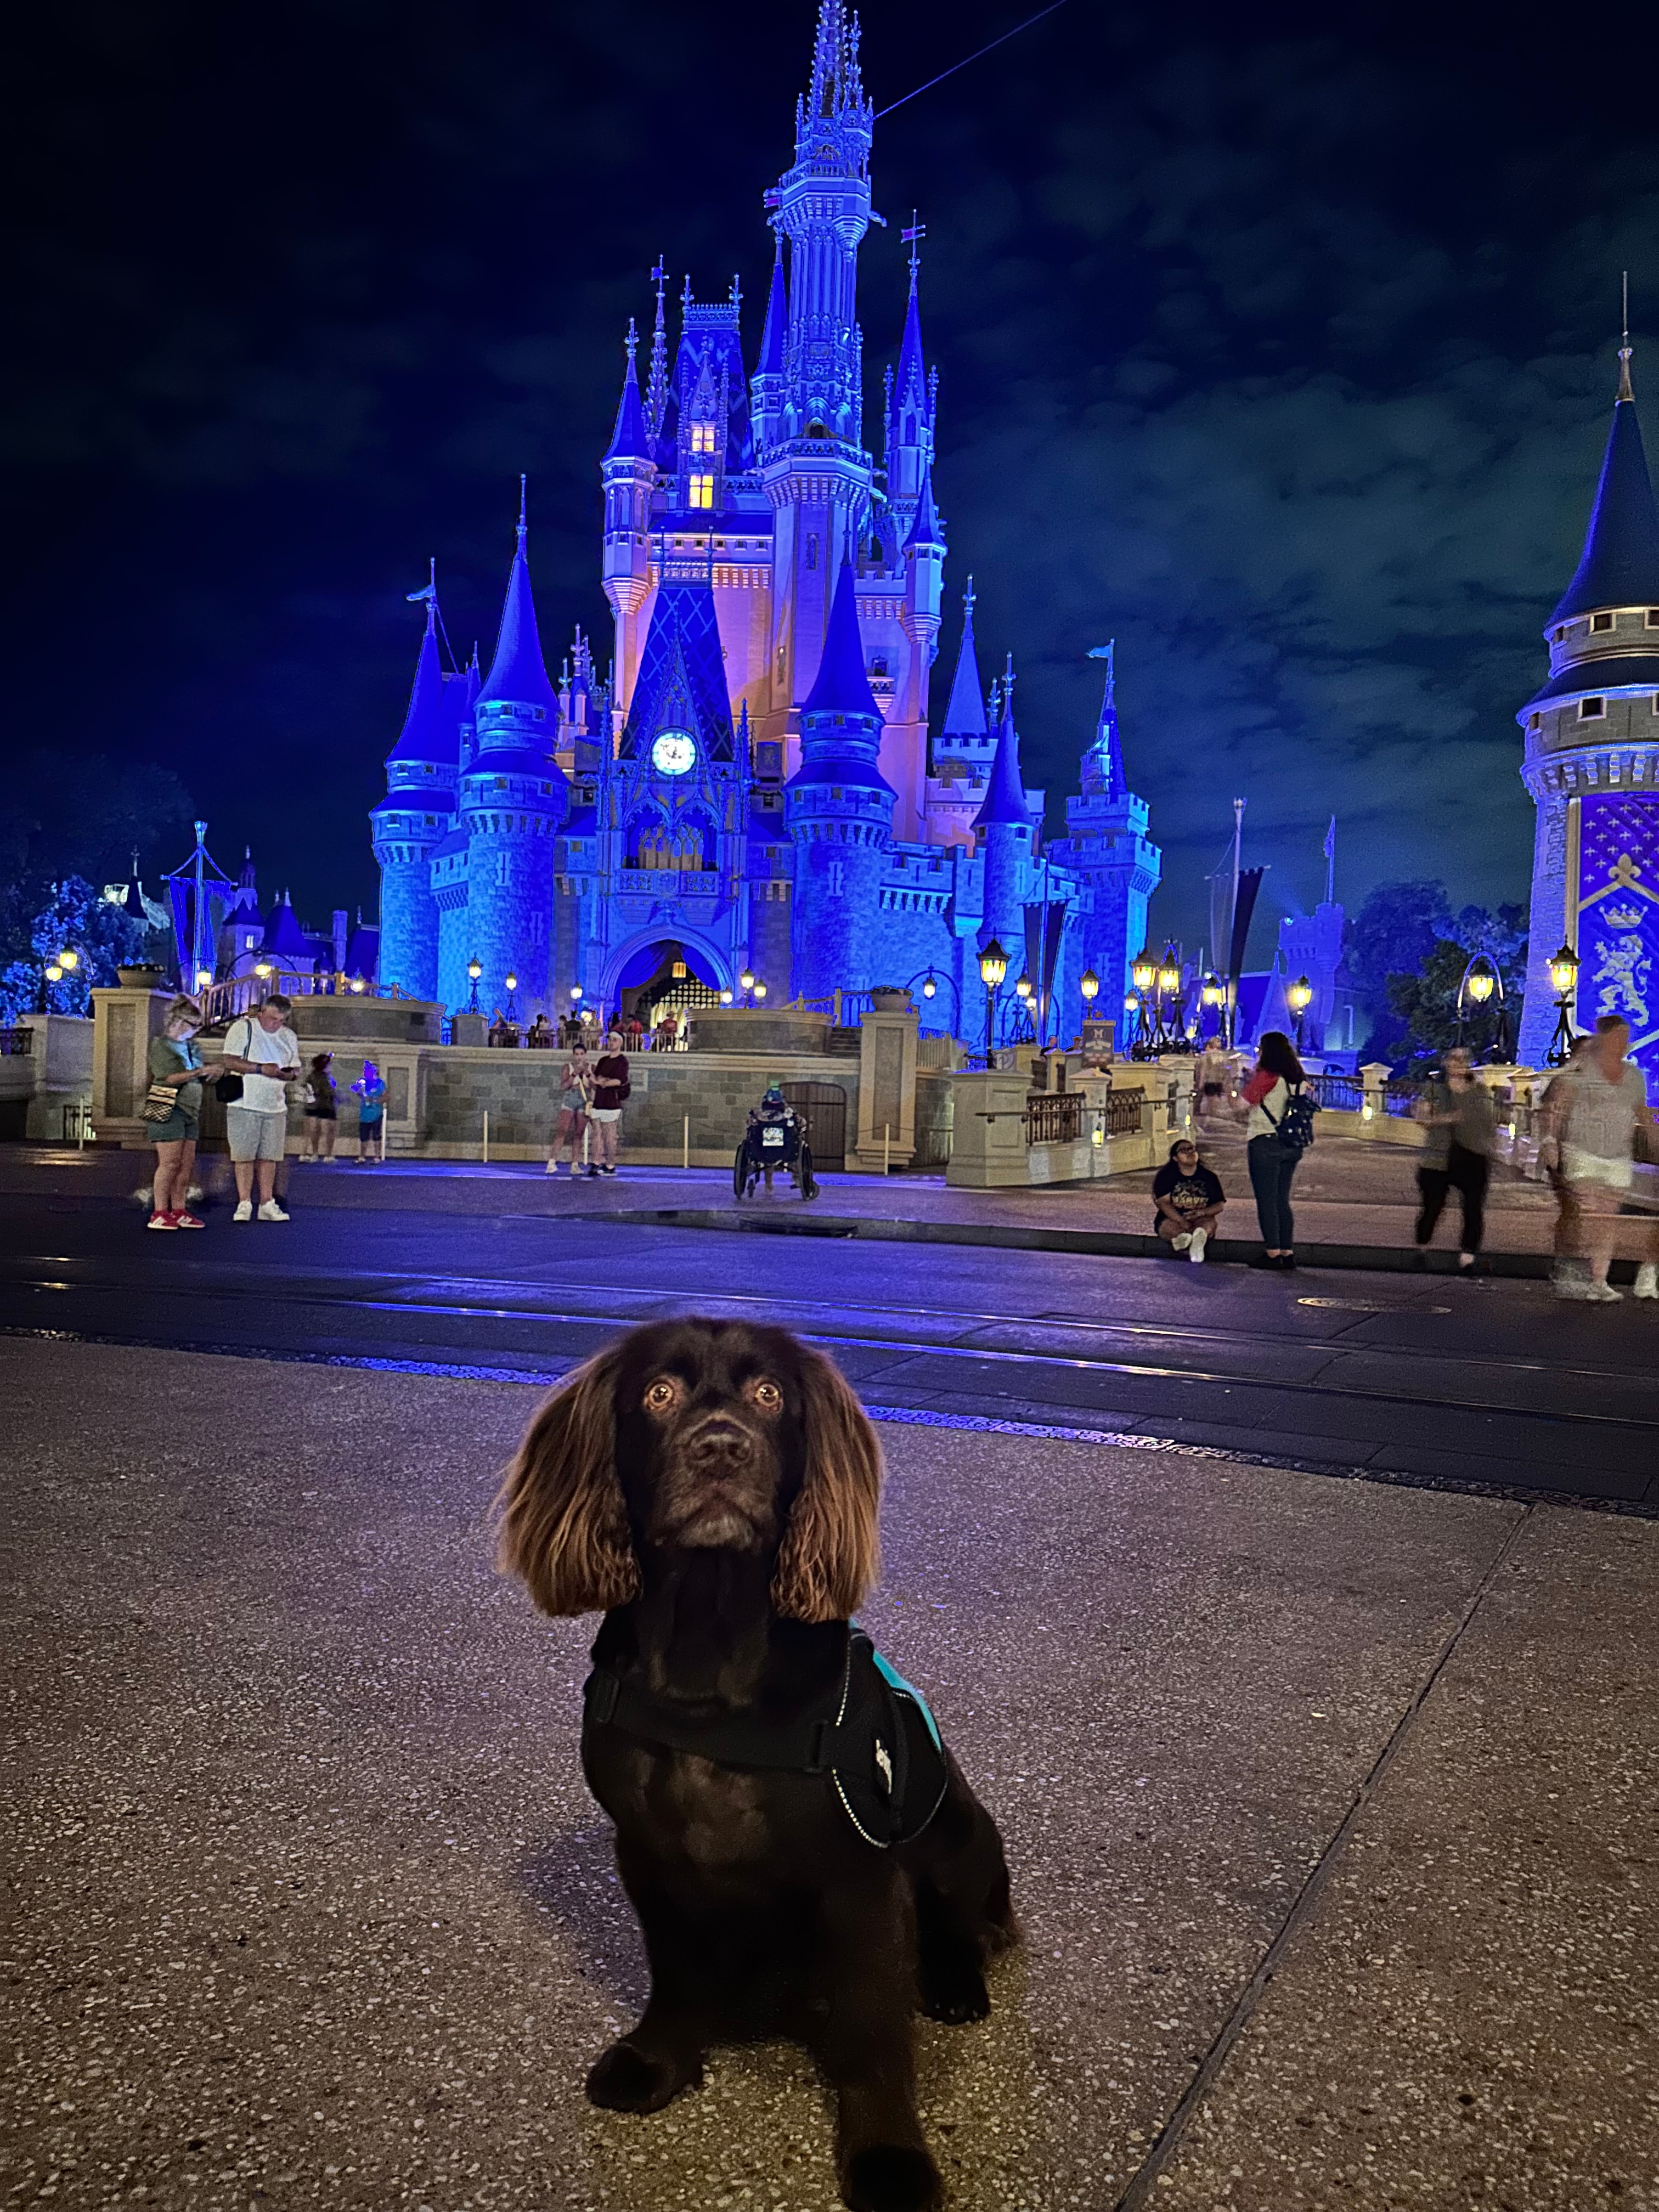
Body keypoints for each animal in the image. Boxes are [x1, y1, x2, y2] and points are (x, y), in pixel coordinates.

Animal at [493, 1318, 1013, 2203]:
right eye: (659, 1393)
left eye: (769, 1394)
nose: (720, 1449)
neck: (706, 1662)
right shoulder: (645, 1854)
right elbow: (671, 1971)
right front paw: (659, 2059)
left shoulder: (861, 1882)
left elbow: (875, 2024)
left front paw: (888, 2154)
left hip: (957, 1832)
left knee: (967, 1924)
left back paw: (952, 1985)